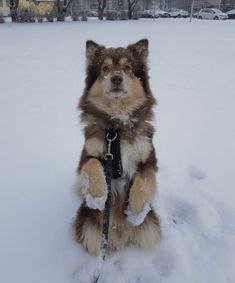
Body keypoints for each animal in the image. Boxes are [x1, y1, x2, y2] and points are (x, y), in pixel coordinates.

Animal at [74, 38, 161, 258]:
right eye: (104, 68)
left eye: (127, 67)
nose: (116, 78)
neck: (117, 126)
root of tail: (119, 236)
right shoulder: (86, 156)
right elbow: (94, 164)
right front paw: (97, 196)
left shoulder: (149, 159)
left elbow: (145, 178)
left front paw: (136, 209)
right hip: (89, 230)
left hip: (151, 229)